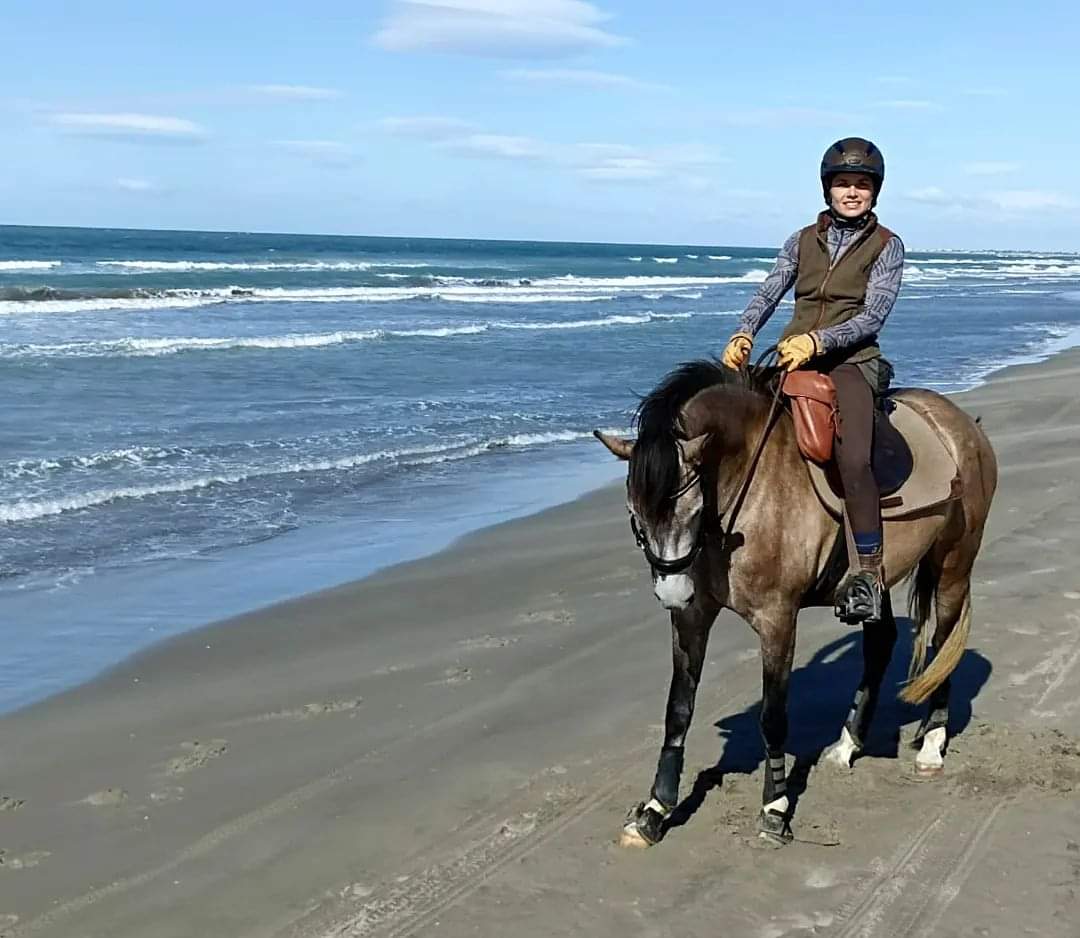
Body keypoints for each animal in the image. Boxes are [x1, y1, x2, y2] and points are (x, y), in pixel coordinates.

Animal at [594, 358, 997, 846]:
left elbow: (772, 716)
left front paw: (775, 807)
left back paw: (933, 745)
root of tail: (961, 425)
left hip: (953, 564)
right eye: (635, 516)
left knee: (942, 641)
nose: (671, 592)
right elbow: (678, 710)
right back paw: (847, 745)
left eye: (692, 509)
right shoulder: (692, 615)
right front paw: (655, 810)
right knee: (881, 643)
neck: (744, 484)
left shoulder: (777, 619)